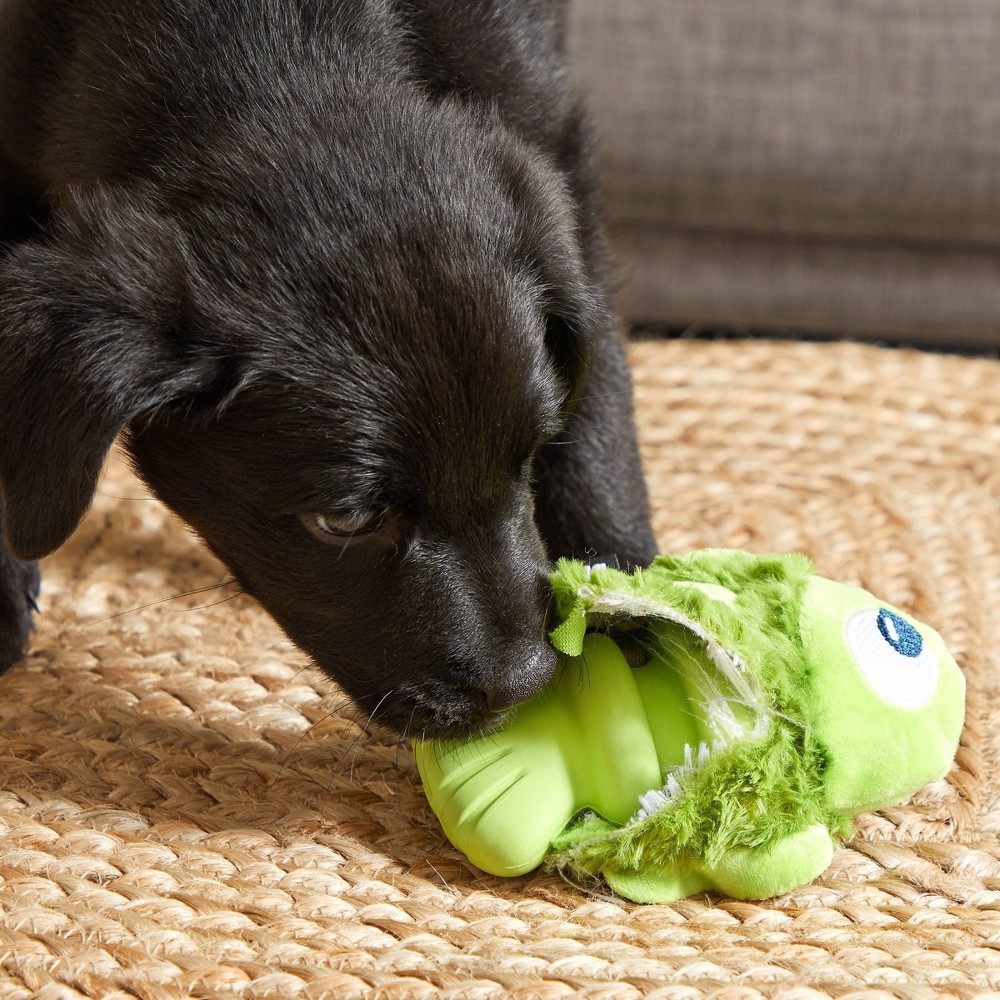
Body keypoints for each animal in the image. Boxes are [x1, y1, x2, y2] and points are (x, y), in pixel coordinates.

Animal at [0, 0, 656, 736]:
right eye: (346, 520)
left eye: (528, 456)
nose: (527, 684)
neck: (266, 47)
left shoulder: (548, 129)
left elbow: (596, 409)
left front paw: (632, 591)